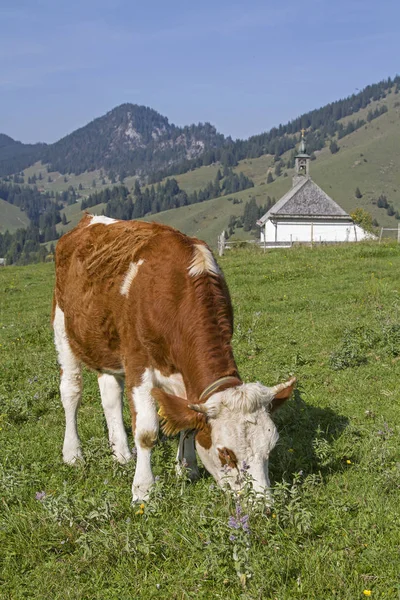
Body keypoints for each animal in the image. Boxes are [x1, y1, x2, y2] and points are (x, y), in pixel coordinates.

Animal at [52, 216, 294, 502]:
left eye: (270, 448)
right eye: (226, 453)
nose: (262, 506)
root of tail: (89, 219)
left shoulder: (185, 376)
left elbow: (186, 421)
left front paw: (186, 469)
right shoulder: (138, 362)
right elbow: (146, 432)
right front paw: (143, 489)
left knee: (110, 395)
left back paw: (122, 454)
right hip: (63, 328)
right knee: (71, 392)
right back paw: (73, 454)